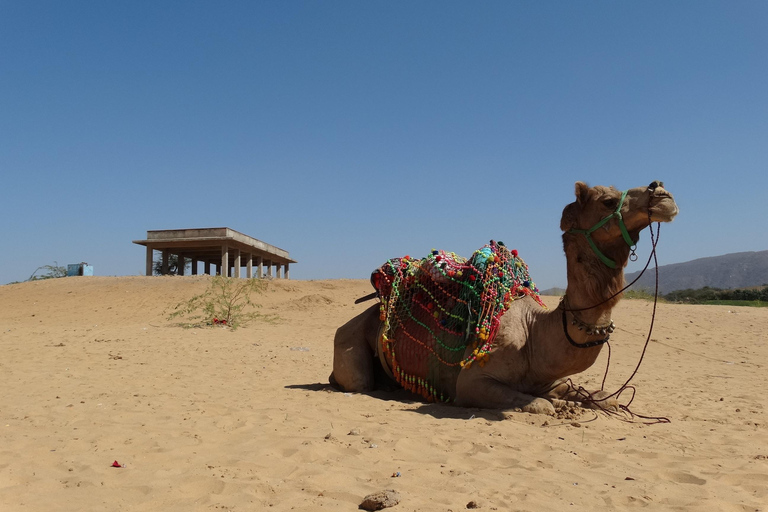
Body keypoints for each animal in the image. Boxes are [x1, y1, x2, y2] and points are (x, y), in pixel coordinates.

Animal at [330, 182, 680, 414]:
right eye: (608, 201)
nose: (662, 192)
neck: (535, 334)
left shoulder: (546, 379)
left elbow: (604, 395)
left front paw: (590, 402)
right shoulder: (472, 382)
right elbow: (540, 405)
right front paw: (559, 407)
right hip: (350, 344)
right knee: (358, 382)